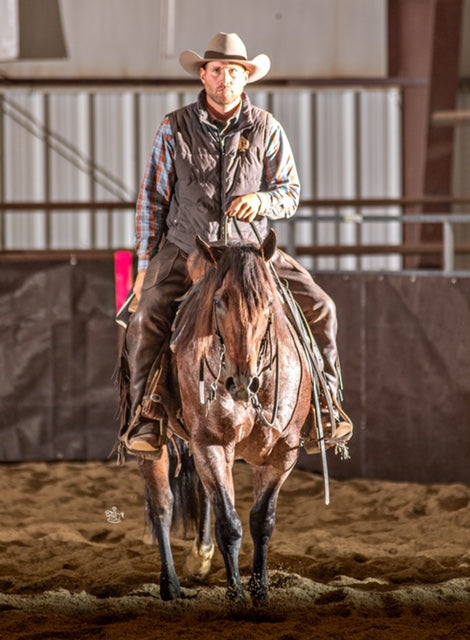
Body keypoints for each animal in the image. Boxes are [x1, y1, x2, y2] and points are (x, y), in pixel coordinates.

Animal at [137, 229, 313, 604]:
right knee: (162, 506)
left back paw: (200, 559)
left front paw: (260, 590)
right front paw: (237, 595)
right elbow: (229, 524)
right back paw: (170, 583)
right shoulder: (212, 444)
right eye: (219, 301)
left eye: (268, 302)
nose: (242, 380)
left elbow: (263, 520)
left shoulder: (283, 452)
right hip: (156, 444)